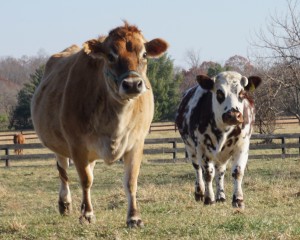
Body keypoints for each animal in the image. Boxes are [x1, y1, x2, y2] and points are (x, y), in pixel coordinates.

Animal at [31, 21, 170, 227]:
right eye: (111, 56)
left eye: (144, 54)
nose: (132, 84)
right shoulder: (77, 145)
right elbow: (85, 180)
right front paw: (87, 214)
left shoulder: (136, 143)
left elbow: (131, 181)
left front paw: (134, 217)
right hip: (60, 145)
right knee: (63, 171)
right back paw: (65, 204)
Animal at [176, 71, 260, 208]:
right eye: (219, 93)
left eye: (242, 93)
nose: (233, 115)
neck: (223, 130)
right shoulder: (202, 148)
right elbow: (207, 174)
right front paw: (209, 199)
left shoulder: (242, 146)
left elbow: (237, 172)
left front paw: (238, 200)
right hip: (190, 148)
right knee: (198, 169)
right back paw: (200, 192)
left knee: (220, 171)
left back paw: (221, 196)